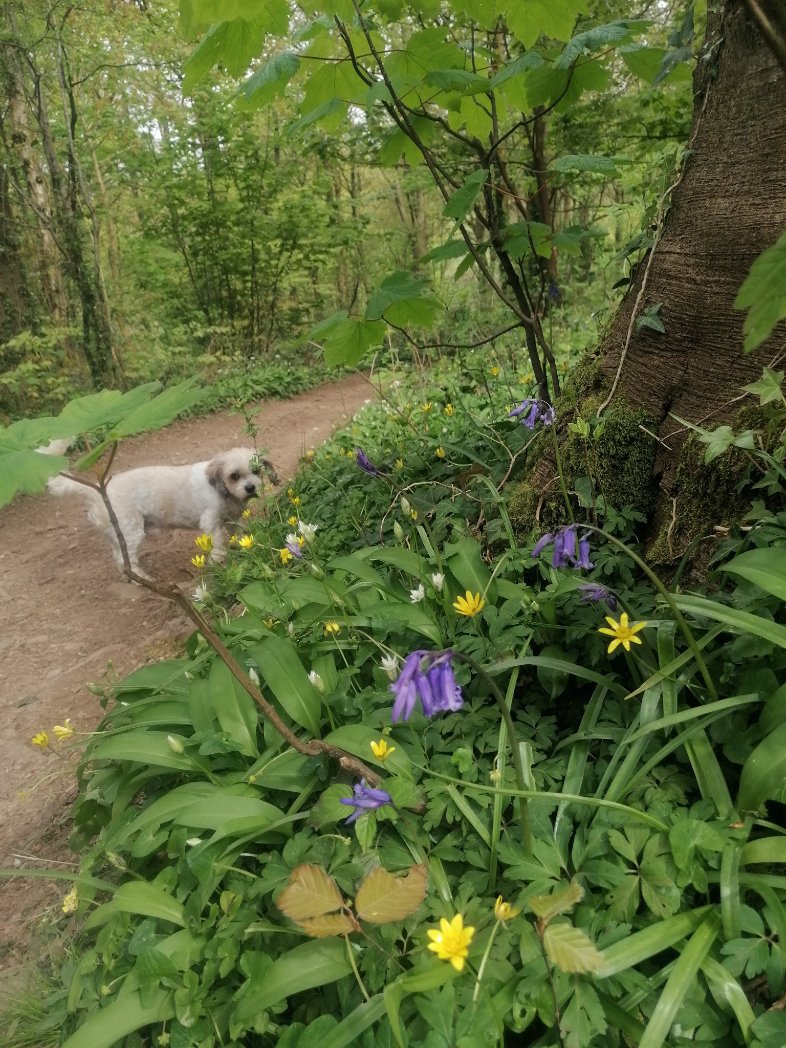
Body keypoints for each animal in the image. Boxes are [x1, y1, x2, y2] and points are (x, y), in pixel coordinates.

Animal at [46, 446, 274, 578]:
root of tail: (94, 490)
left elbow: (239, 534)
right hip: (131, 532)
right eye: (234, 475)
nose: (250, 487)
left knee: (118, 558)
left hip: (116, 535)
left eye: (256, 470)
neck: (222, 490)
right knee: (126, 561)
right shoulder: (211, 522)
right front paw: (216, 560)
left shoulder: (232, 519)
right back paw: (142, 578)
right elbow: (218, 545)